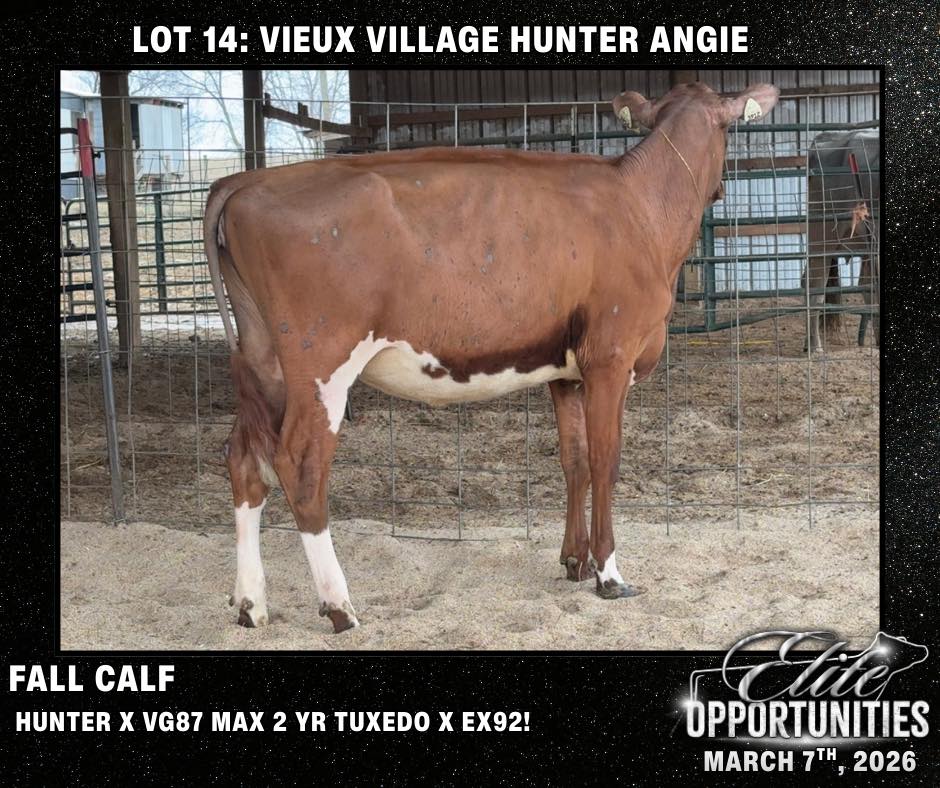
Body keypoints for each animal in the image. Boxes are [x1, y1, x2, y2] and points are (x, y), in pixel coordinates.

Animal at [204, 81, 779, 632]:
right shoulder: (610, 356)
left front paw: (575, 562)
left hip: (264, 360)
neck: (641, 206)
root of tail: (246, 182)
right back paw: (340, 606)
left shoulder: (566, 371)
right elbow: (606, 460)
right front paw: (609, 574)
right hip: (322, 361)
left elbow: (574, 460)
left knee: (244, 459)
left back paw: (251, 603)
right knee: (300, 464)